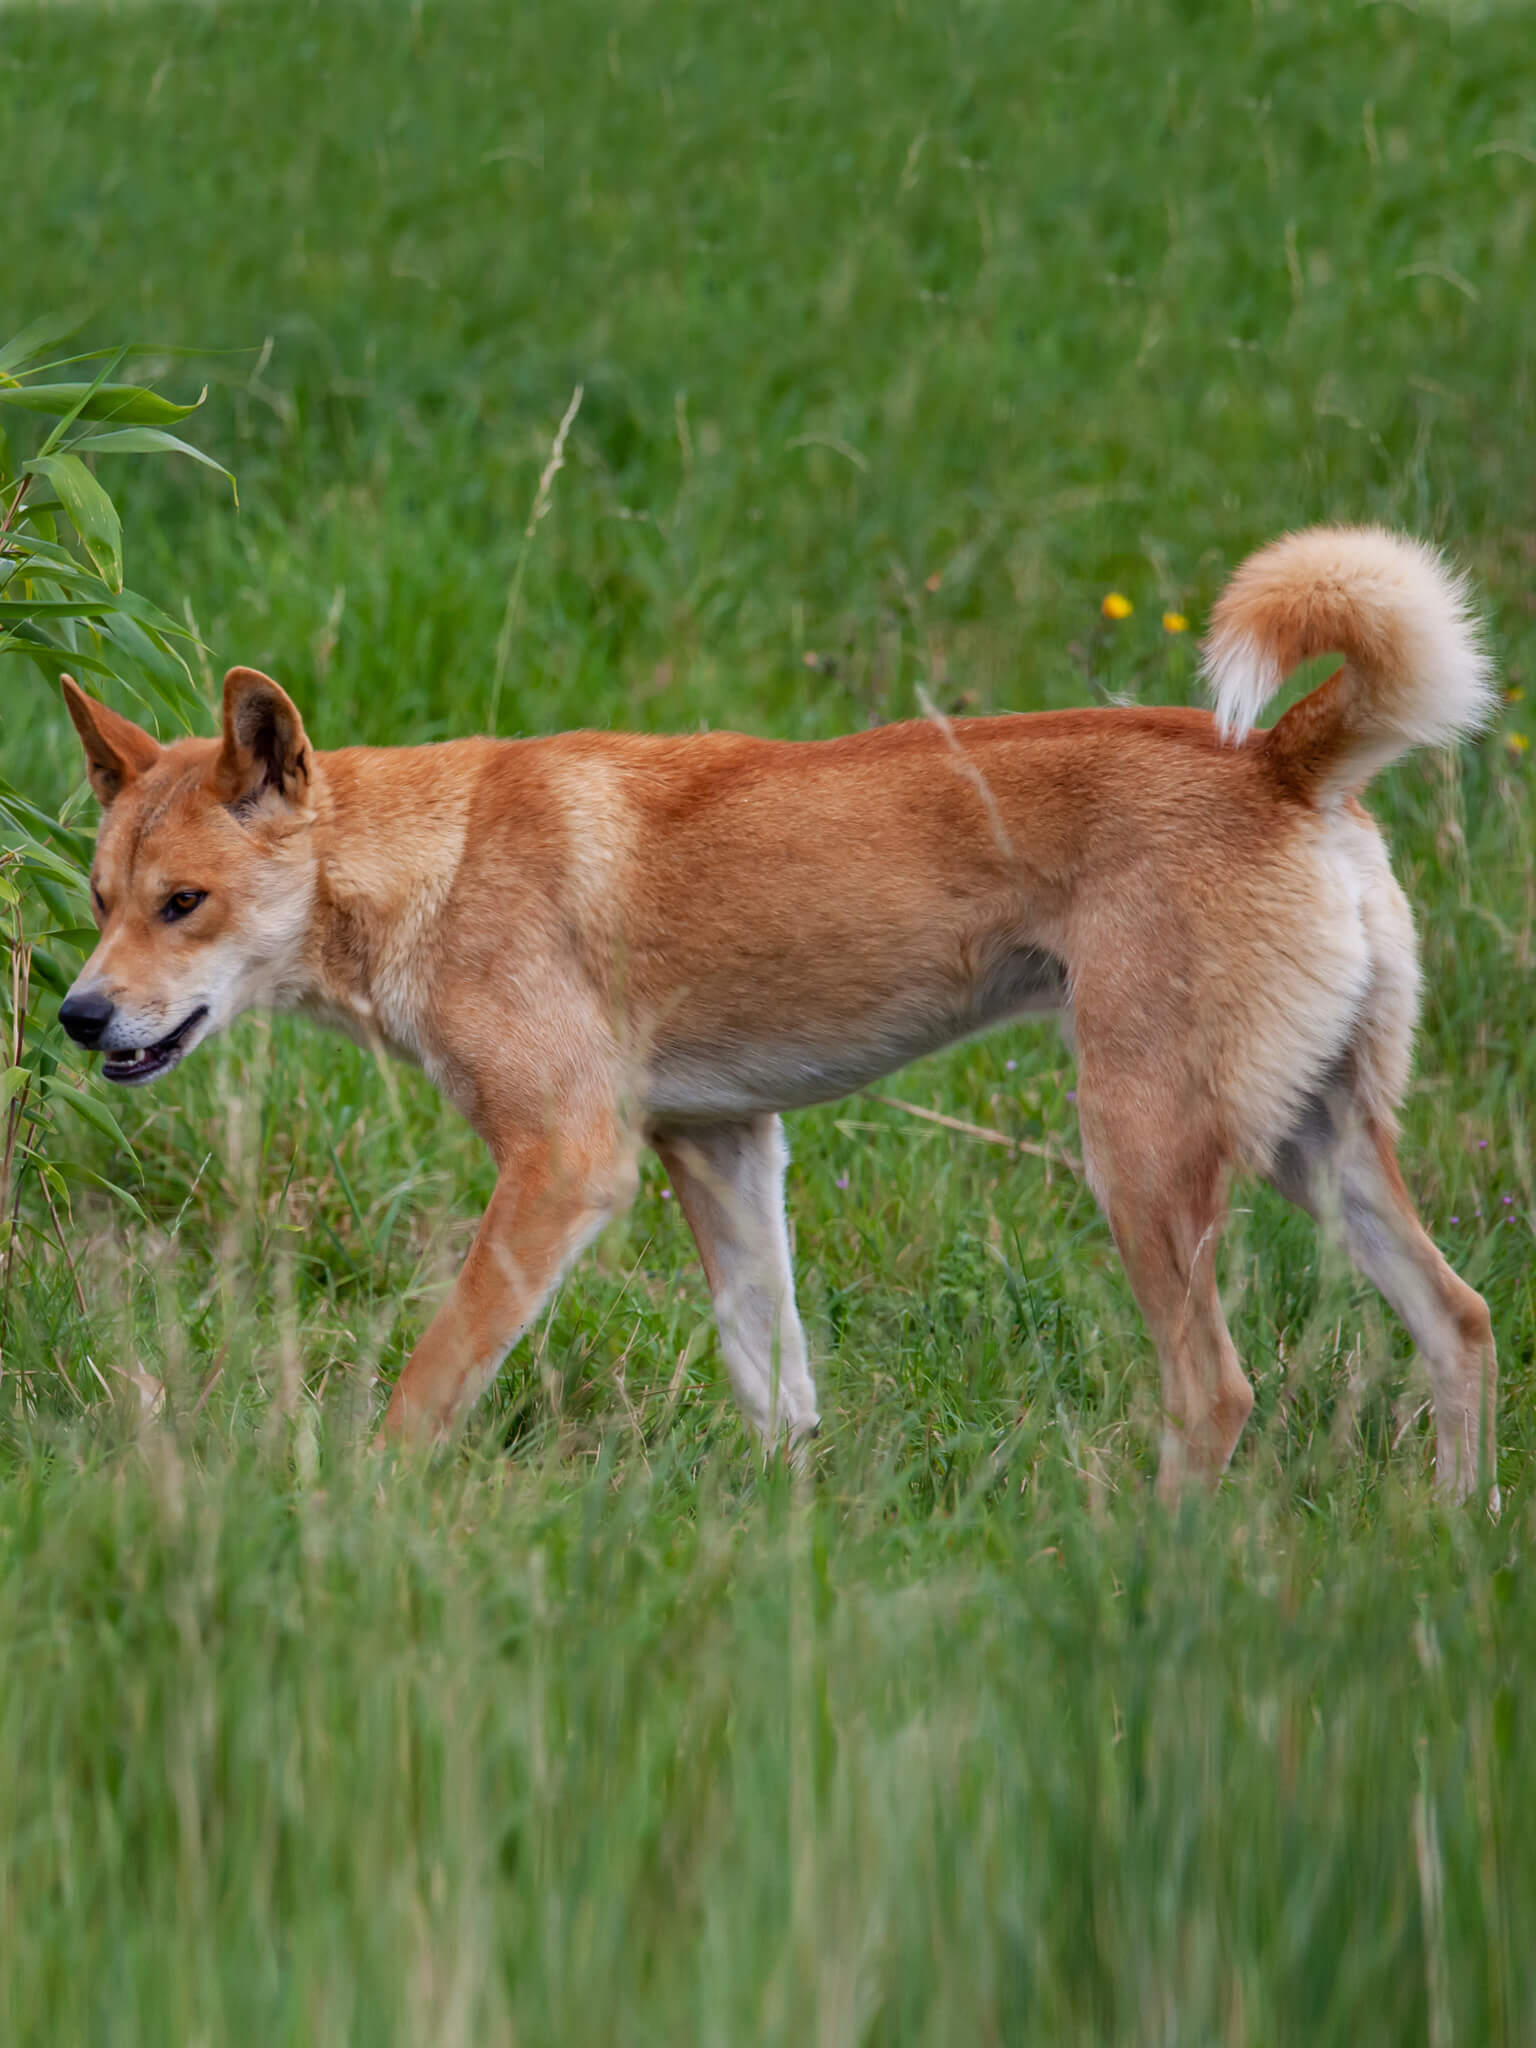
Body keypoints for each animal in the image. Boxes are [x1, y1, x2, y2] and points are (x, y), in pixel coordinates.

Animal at [57, 520, 1507, 1499]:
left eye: (183, 903)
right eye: (97, 897)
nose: (76, 1015)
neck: (441, 861)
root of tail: (1283, 762)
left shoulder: (566, 1161)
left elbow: (432, 1379)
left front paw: (371, 1502)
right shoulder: (721, 1145)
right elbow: (776, 1387)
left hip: (1144, 1153)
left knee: (1216, 1392)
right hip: (1315, 1142)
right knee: (1462, 1320)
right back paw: (1449, 1536)